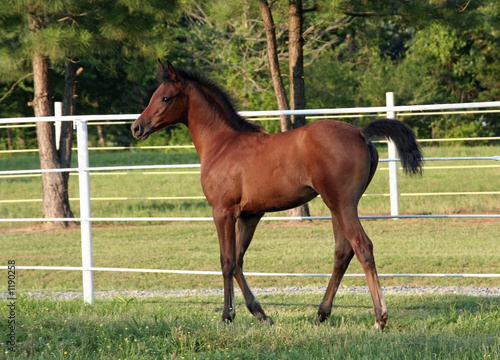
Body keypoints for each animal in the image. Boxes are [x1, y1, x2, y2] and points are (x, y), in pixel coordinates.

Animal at [133, 61, 422, 330]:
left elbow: (226, 260)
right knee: (342, 252)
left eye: (166, 98)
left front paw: (227, 316)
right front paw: (260, 315)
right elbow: (238, 260)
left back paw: (379, 318)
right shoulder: (250, 215)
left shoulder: (222, 211)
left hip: (342, 203)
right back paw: (321, 314)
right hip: (337, 206)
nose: (137, 128)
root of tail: (361, 133)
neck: (223, 144)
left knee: (362, 247)